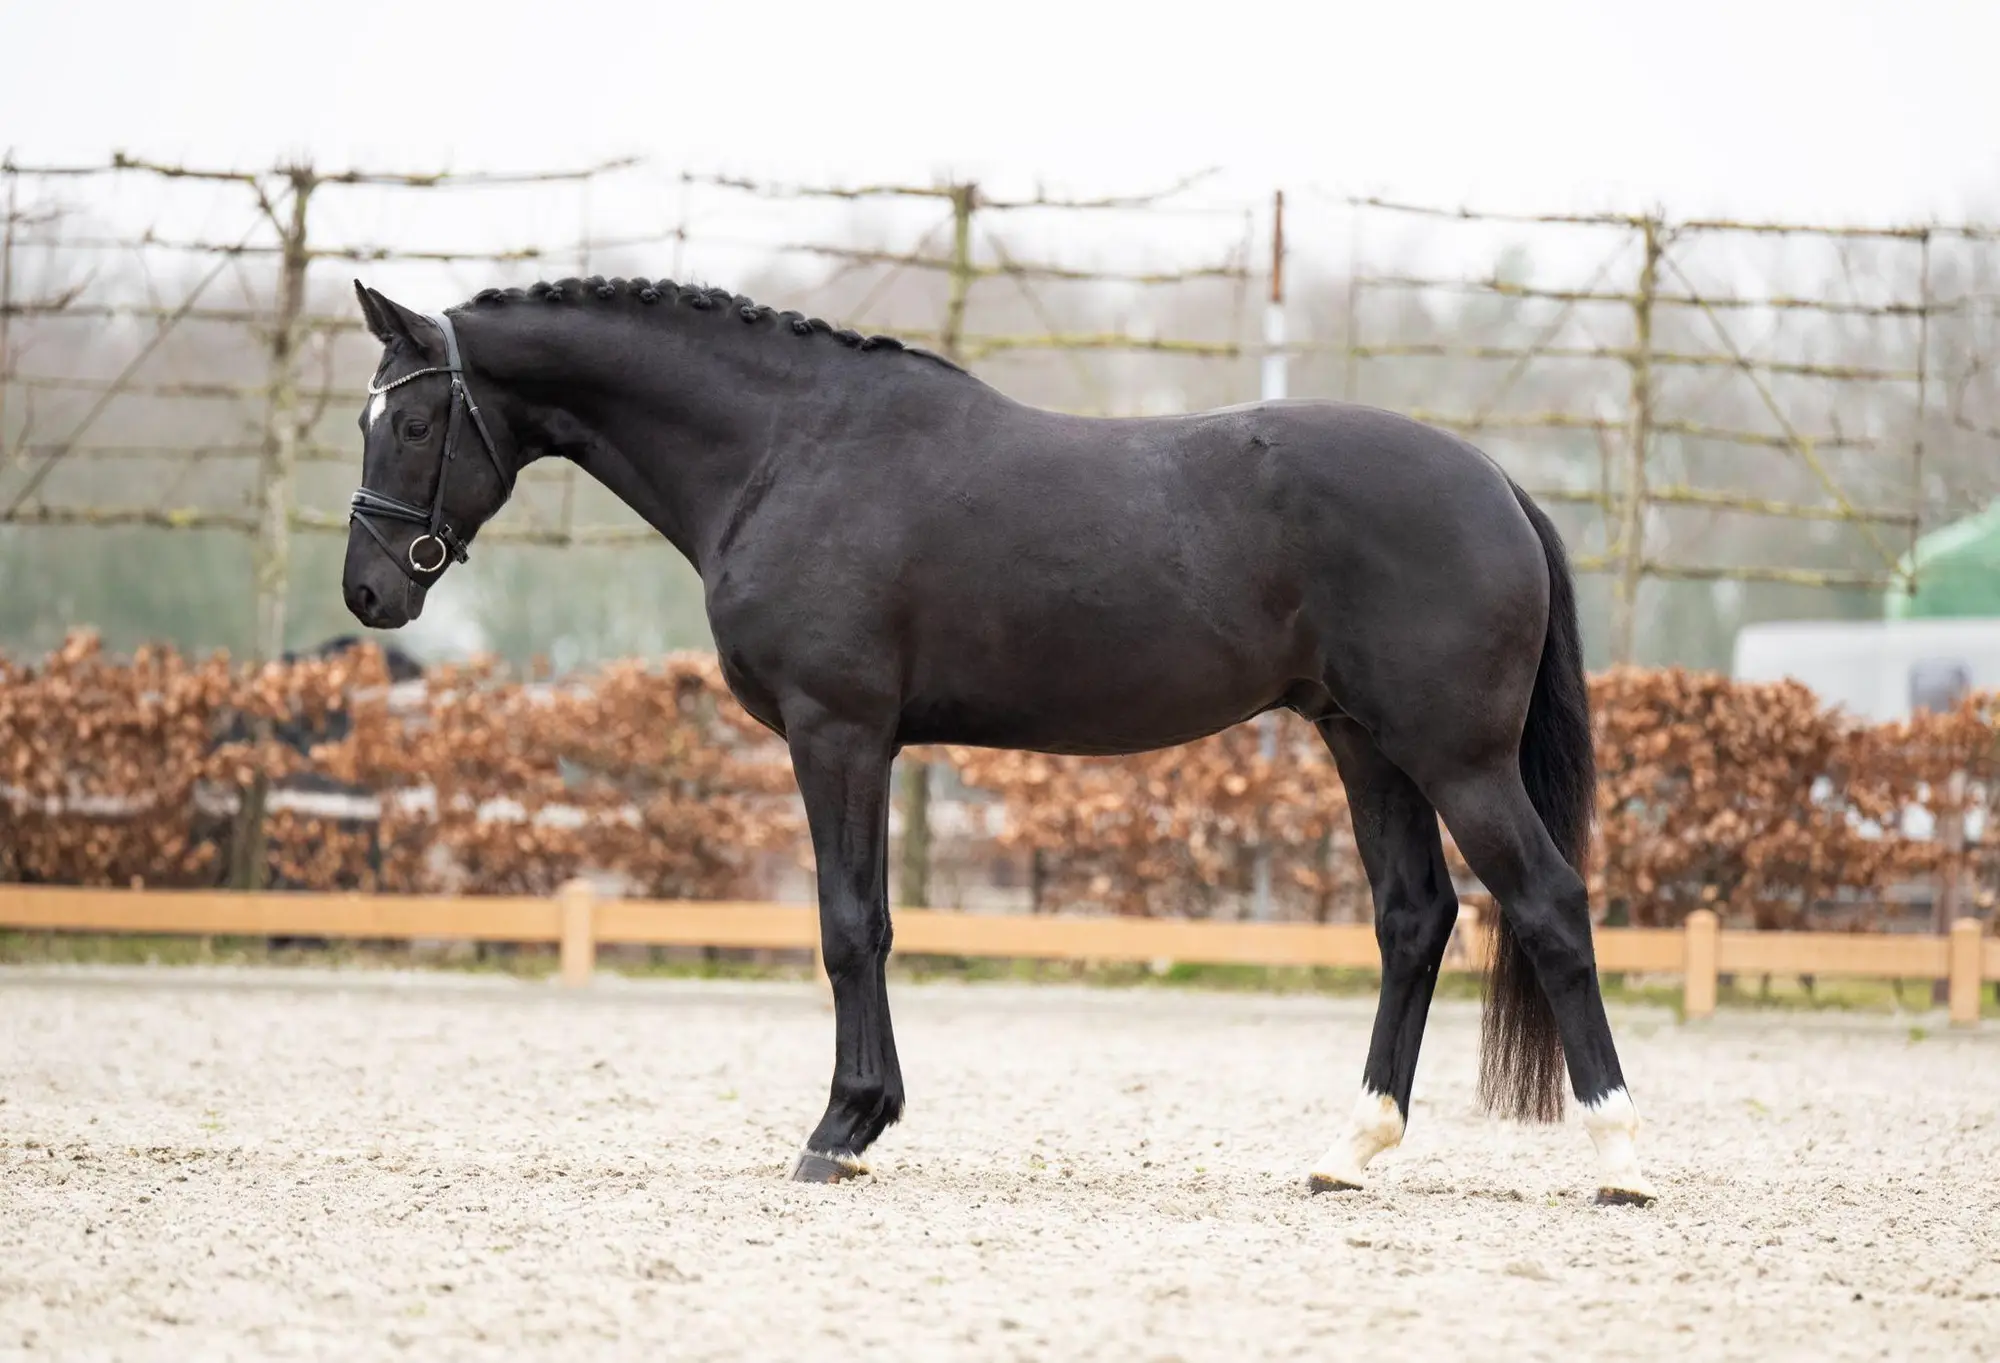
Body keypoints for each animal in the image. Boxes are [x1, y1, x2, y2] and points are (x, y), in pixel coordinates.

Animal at [340, 275, 1657, 1206]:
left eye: (413, 419)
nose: (368, 591)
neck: (788, 449)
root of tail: (1492, 481)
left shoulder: (837, 731)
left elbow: (848, 926)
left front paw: (841, 1129)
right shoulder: (863, 743)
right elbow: (867, 924)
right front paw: (863, 1121)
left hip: (1454, 758)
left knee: (1546, 903)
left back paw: (1619, 1153)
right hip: (1363, 744)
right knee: (1411, 919)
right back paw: (1351, 1146)